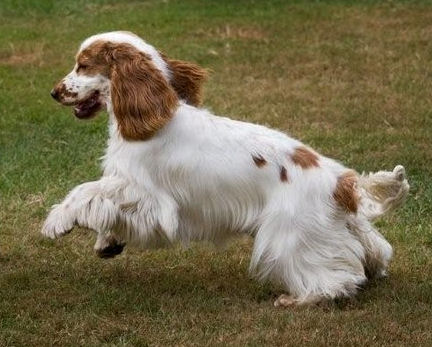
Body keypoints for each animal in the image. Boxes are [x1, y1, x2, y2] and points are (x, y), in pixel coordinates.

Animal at [44, 30, 408, 308]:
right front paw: (107, 243)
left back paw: (299, 299)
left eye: (83, 65)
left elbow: (87, 191)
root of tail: (340, 180)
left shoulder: (149, 197)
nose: (54, 92)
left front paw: (57, 222)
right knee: (373, 250)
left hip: (289, 236)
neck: (155, 118)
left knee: (336, 277)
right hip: (340, 225)